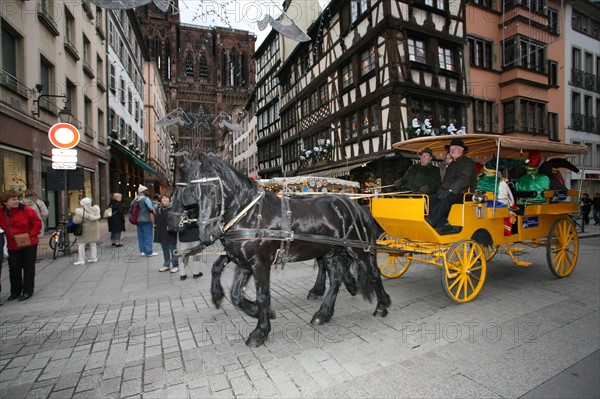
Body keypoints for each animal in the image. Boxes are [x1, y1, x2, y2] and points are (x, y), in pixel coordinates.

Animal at [171, 153, 392, 346]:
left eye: (214, 192)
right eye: (193, 195)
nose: (207, 233)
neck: (249, 214)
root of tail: (355, 205)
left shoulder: (259, 264)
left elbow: (262, 296)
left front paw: (260, 331)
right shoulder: (242, 262)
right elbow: (235, 295)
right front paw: (258, 312)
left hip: (357, 249)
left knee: (373, 272)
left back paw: (382, 305)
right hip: (329, 251)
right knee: (336, 278)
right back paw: (324, 313)